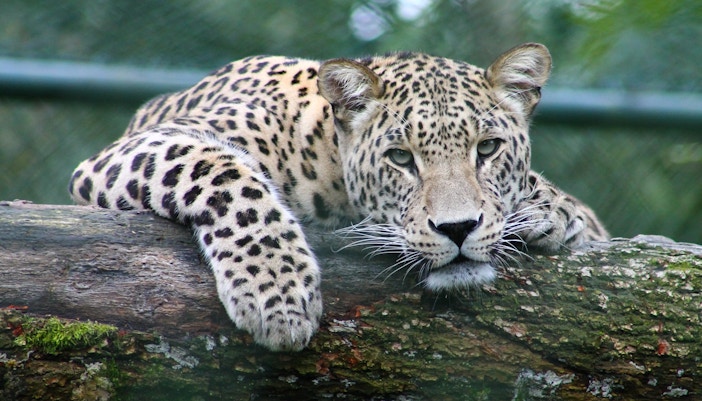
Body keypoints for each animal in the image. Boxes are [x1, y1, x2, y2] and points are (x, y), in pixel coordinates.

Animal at [69, 43, 609, 351]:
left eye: (489, 149)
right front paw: (278, 294)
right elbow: (225, 174)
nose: (457, 229)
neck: (325, 155)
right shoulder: (134, 150)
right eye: (400, 158)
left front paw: (554, 210)